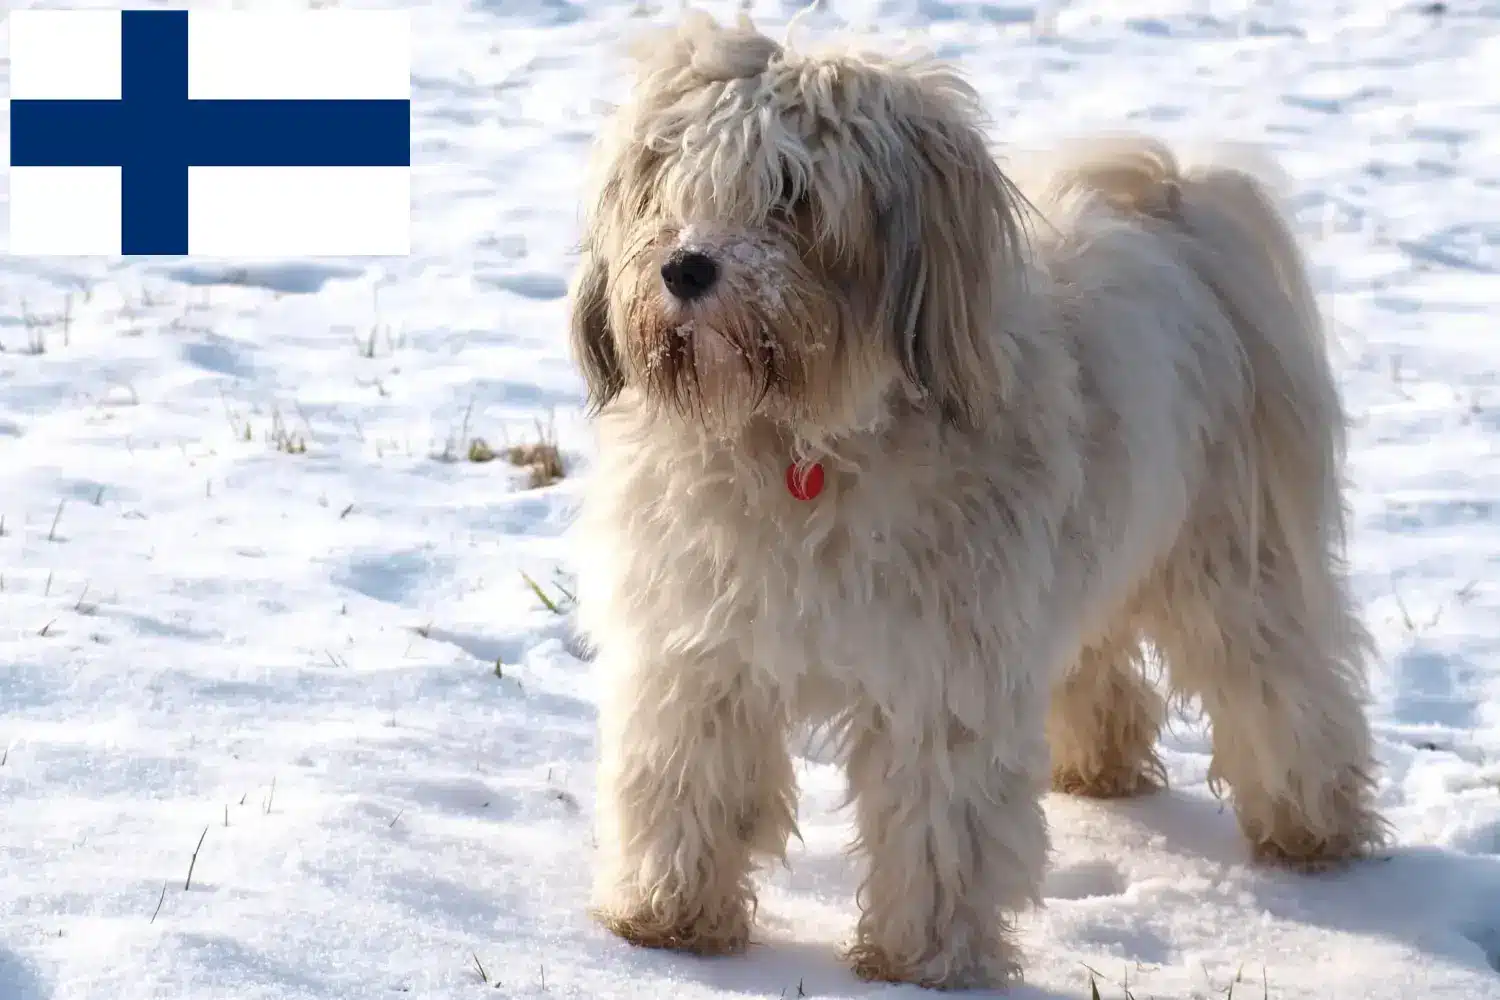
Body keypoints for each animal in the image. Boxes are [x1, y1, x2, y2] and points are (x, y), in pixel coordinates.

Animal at [567, 9, 1386, 995]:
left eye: (792, 196)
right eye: (668, 180)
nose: (687, 268)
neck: (801, 445)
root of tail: (1171, 204)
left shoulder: (943, 670)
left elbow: (937, 821)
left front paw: (922, 958)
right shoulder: (701, 652)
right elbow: (688, 779)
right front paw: (668, 917)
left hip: (1228, 558)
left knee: (1283, 682)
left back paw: (1315, 825)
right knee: (1101, 662)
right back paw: (1100, 762)